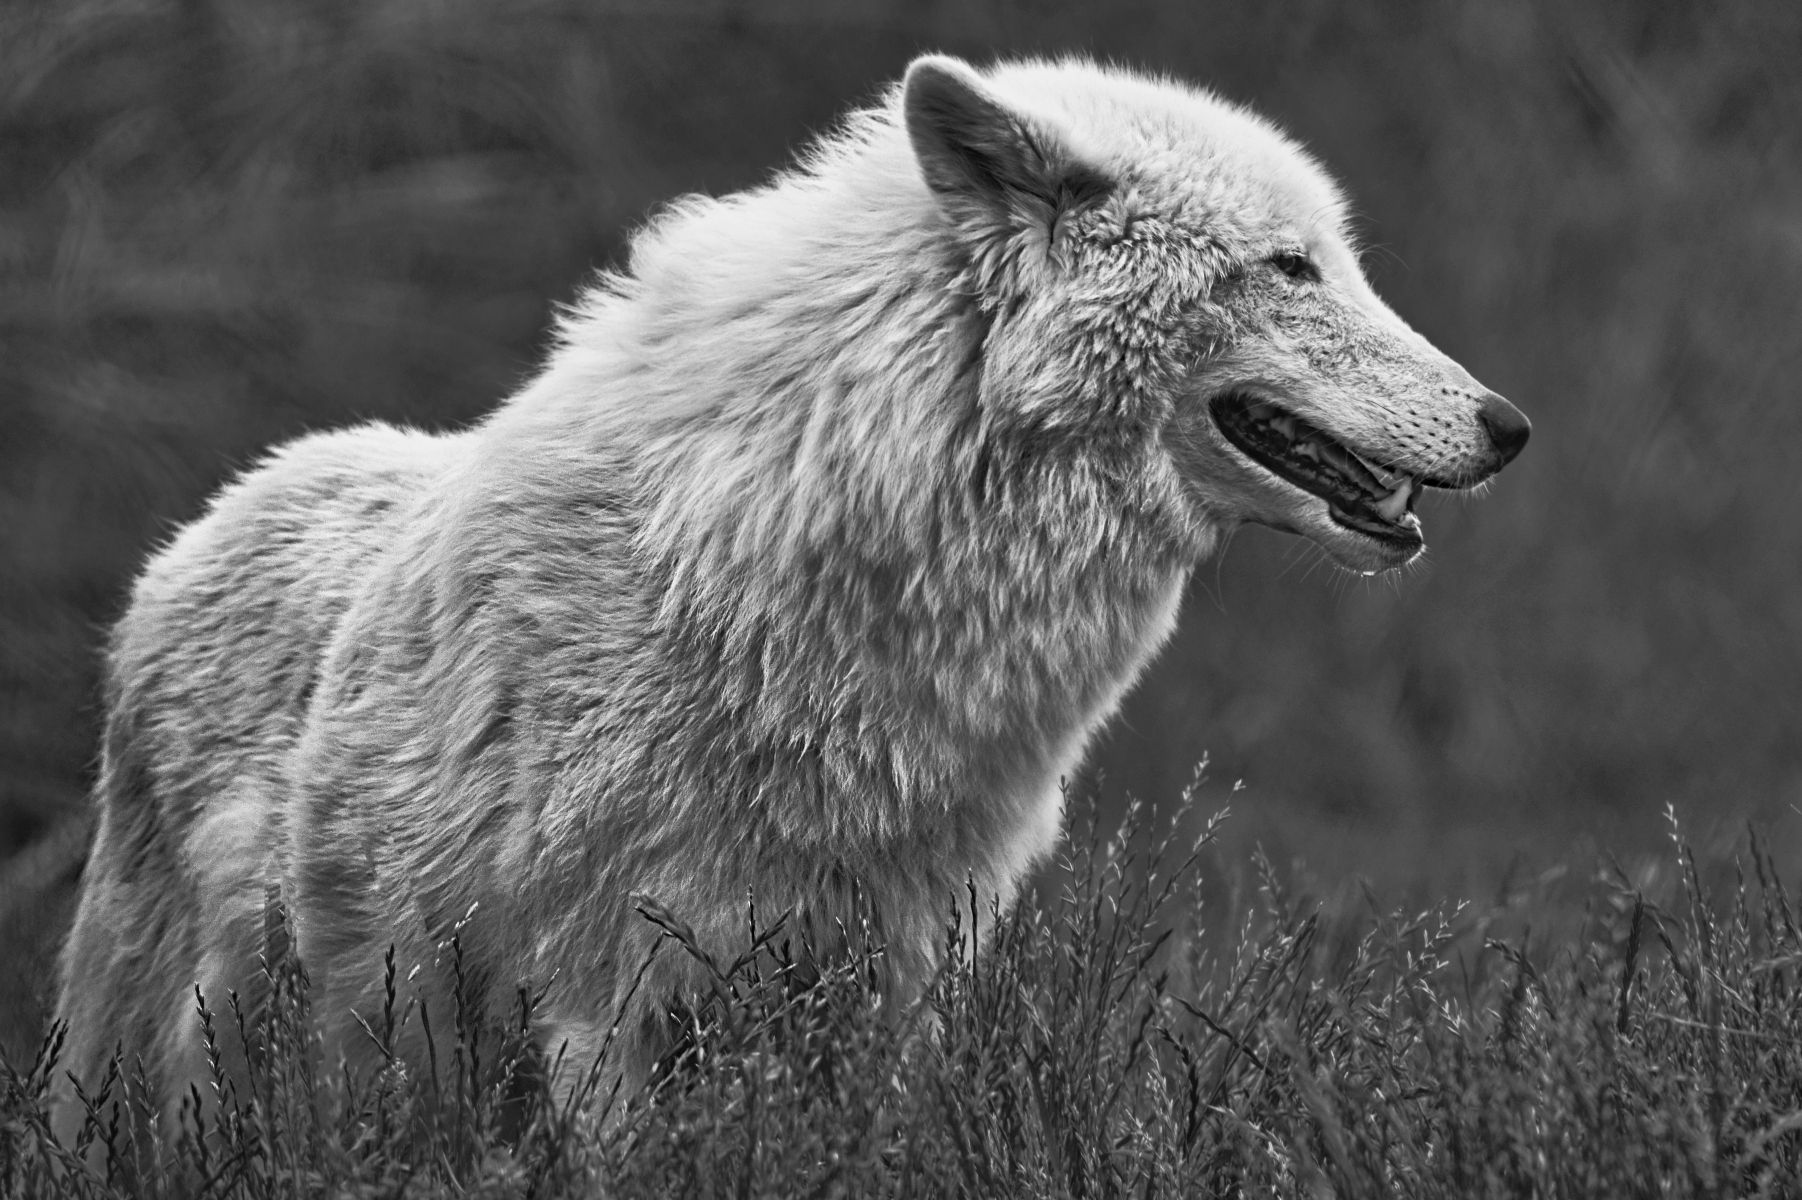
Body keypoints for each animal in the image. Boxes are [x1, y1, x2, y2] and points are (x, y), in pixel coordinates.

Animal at [52, 54, 1526, 1140]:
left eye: (1331, 259)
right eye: (1291, 267)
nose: (1507, 428)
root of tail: (192, 535)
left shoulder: (896, 982)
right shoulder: (601, 991)